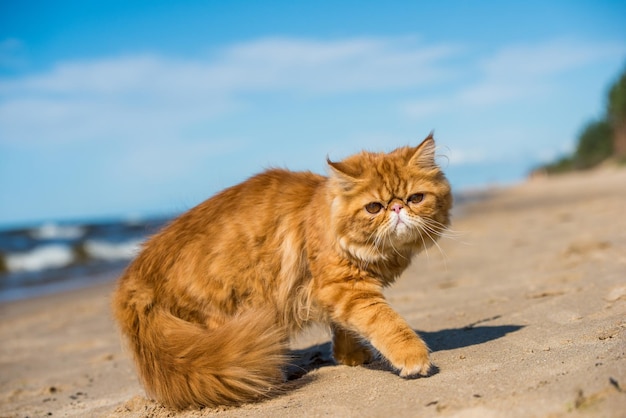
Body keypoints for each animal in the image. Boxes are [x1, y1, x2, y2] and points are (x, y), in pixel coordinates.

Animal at [112, 135, 450, 408]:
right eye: (374, 207)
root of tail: (134, 279)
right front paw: (413, 357)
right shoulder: (345, 286)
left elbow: (345, 326)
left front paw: (350, 357)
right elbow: (386, 323)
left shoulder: (335, 290)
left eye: (415, 198)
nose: (397, 208)